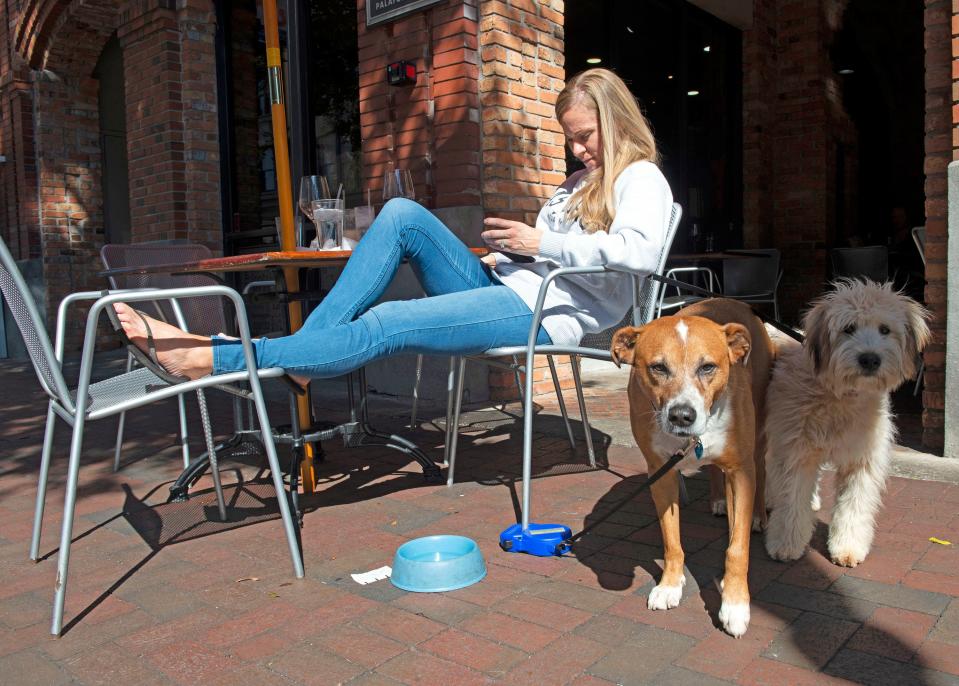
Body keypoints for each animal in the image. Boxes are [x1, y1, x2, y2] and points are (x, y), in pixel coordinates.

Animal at [612, 300, 776, 640]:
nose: (682, 415)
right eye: (658, 367)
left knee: (761, 467)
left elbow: (737, 548)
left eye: (708, 367)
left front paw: (735, 604)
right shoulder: (660, 473)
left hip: (759, 427)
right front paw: (670, 585)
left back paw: (757, 516)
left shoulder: (740, 471)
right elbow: (671, 538)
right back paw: (718, 501)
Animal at [764, 280, 928, 568]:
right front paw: (786, 543)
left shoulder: (861, 460)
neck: (840, 395)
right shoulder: (795, 451)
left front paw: (848, 547)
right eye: (848, 328)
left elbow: (855, 506)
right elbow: (792, 501)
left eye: (885, 329)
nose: (870, 359)